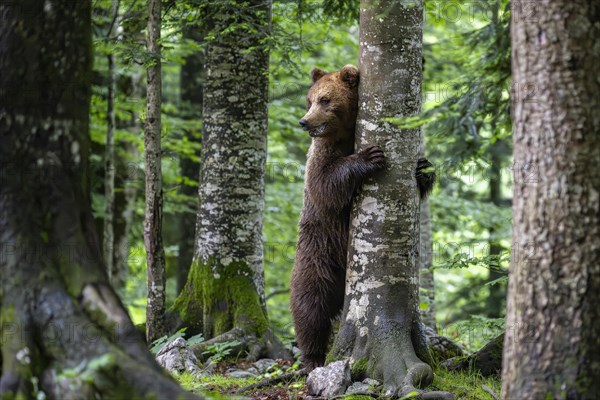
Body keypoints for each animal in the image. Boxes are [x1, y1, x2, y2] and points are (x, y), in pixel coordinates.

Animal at [290, 64, 434, 370]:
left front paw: (423, 168)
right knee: (309, 305)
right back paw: (312, 356)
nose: (304, 122)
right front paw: (370, 156)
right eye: (310, 100)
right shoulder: (322, 154)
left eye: (324, 100)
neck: (345, 134)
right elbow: (326, 184)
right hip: (317, 253)